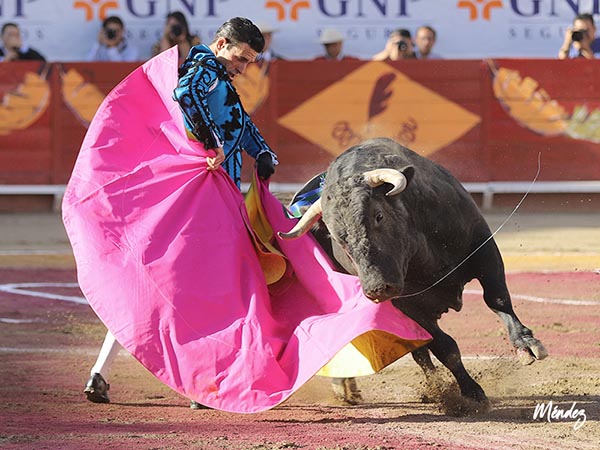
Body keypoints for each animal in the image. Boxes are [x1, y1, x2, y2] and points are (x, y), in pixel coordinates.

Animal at [278, 136, 548, 404]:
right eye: (337, 238)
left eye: (379, 215)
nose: (377, 289)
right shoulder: (404, 303)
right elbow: (445, 347)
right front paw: (471, 392)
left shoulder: (483, 247)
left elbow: (497, 298)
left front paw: (526, 345)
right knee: (420, 351)